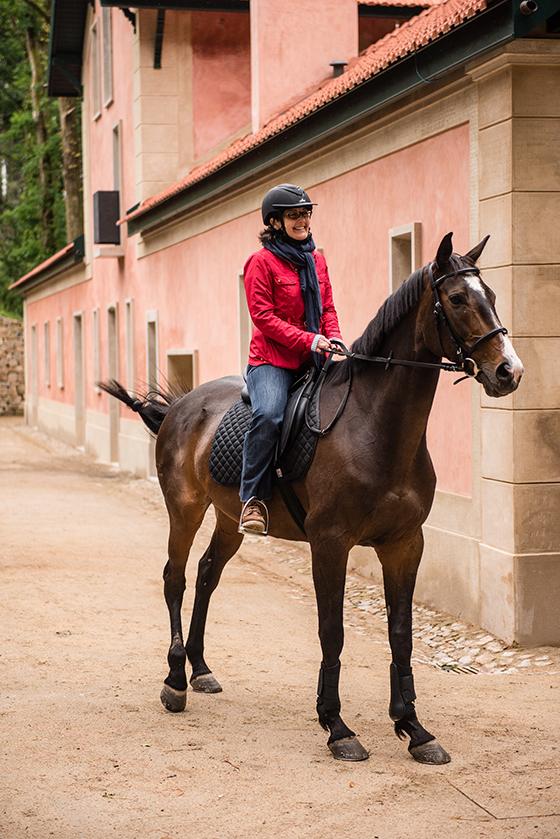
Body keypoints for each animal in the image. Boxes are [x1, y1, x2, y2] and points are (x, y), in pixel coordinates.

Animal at [101, 233, 524, 764]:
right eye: (458, 299)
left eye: (492, 294)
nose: (509, 371)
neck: (376, 426)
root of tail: (180, 406)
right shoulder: (330, 543)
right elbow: (332, 631)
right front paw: (337, 726)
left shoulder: (406, 544)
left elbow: (400, 634)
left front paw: (414, 728)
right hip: (185, 509)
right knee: (174, 578)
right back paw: (176, 679)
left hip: (229, 519)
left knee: (206, 575)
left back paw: (200, 669)